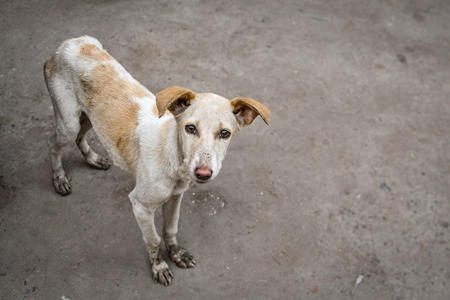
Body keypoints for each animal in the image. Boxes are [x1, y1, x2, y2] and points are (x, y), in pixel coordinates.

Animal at [44, 36, 270, 284]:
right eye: (190, 128)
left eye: (225, 133)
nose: (203, 173)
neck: (172, 155)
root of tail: (71, 43)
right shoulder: (140, 205)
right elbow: (153, 239)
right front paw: (159, 266)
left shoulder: (176, 196)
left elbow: (170, 229)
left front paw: (176, 254)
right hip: (68, 122)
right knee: (53, 144)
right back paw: (59, 178)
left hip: (87, 118)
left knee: (79, 137)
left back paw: (92, 159)